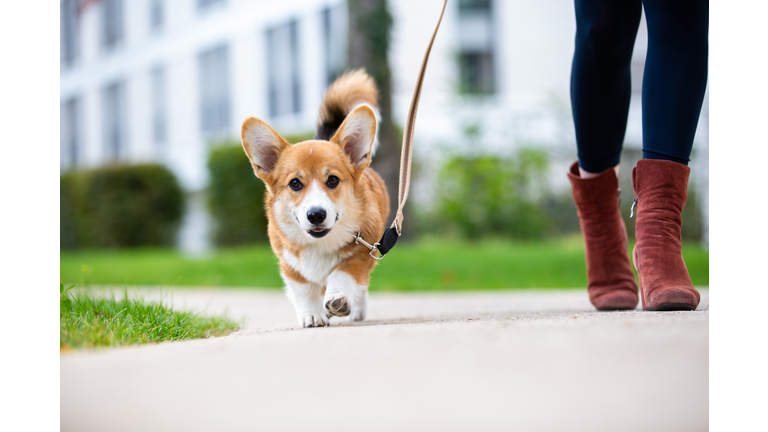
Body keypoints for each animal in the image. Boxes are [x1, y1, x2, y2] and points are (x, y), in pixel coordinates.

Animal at [242, 70, 390, 328]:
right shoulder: (290, 265)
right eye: (294, 183)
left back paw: (356, 309)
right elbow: (304, 290)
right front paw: (312, 315)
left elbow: (342, 275)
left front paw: (338, 299)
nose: (316, 215)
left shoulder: (362, 253)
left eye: (332, 180)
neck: (319, 245)